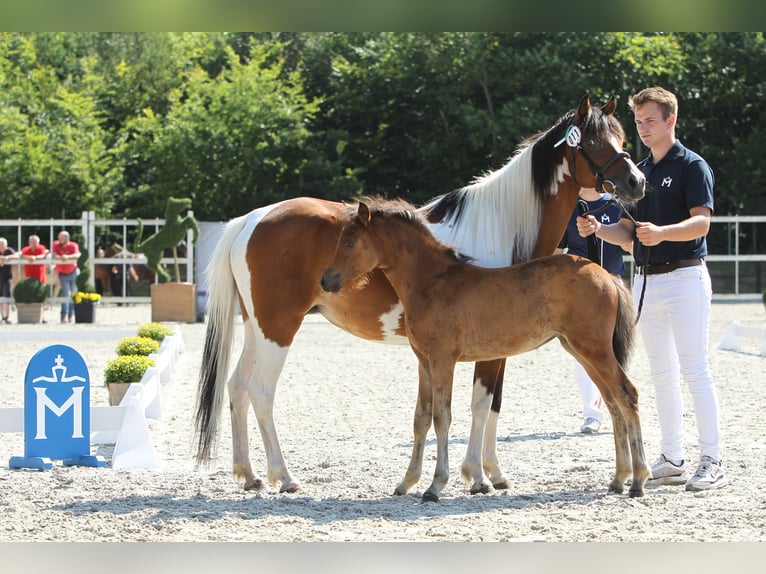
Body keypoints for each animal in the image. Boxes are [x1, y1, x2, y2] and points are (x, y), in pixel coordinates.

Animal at [320, 199, 652, 504]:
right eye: (339, 240)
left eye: (350, 242)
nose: (325, 280)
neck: (432, 281)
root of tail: (606, 276)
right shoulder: (423, 361)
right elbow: (421, 418)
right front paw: (406, 483)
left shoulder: (443, 360)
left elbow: (442, 417)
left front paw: (435, 486)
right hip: (581, 350)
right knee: (613, 401)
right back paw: (618, 478)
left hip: (595, 350)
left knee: (628, 394)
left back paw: (638, 480)